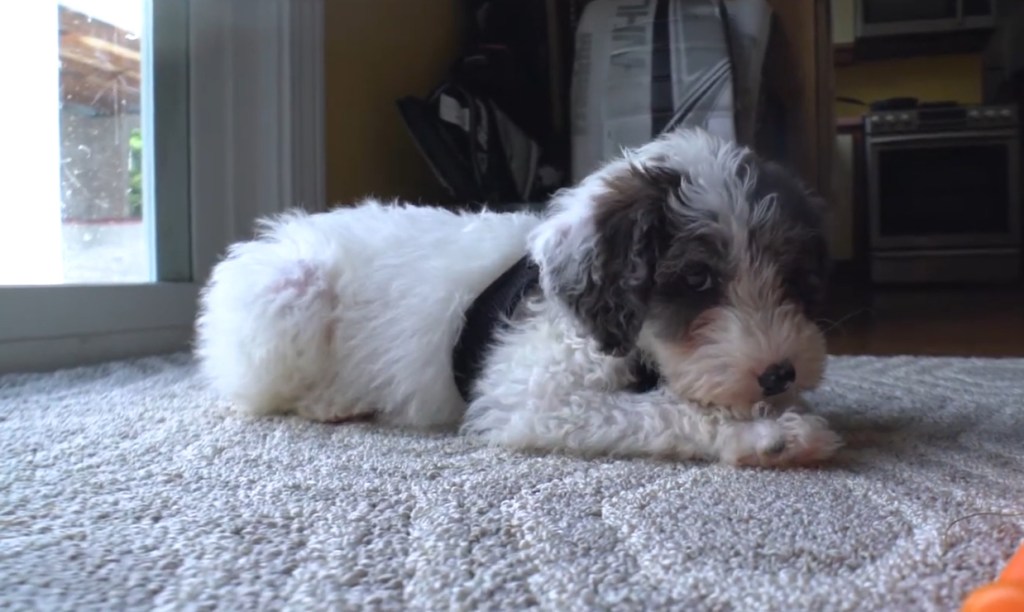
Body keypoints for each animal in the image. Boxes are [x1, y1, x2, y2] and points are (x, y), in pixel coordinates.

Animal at [195, 126, 843, 468]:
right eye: (698, 280)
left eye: (790, 275)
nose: (780, 373)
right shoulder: (532, 396)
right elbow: (659, 411)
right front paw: (773, 435)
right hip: (292, 293)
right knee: (254, 391)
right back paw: (333, 400)